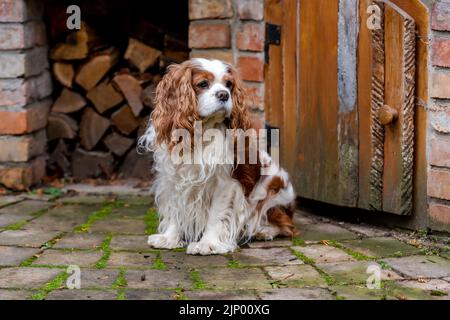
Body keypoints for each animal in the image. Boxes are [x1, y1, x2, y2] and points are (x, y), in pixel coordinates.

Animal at [139, 58, 298, 255]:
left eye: (229, 84)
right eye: (202, 84)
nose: (224, 94)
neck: (201, 132)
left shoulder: (225, 183)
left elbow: (216, 215)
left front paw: (208, 244)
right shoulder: (174, 178)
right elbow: (176, 209)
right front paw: (169, 238)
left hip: (270, 188)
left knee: (286, 225)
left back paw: (263, 231)